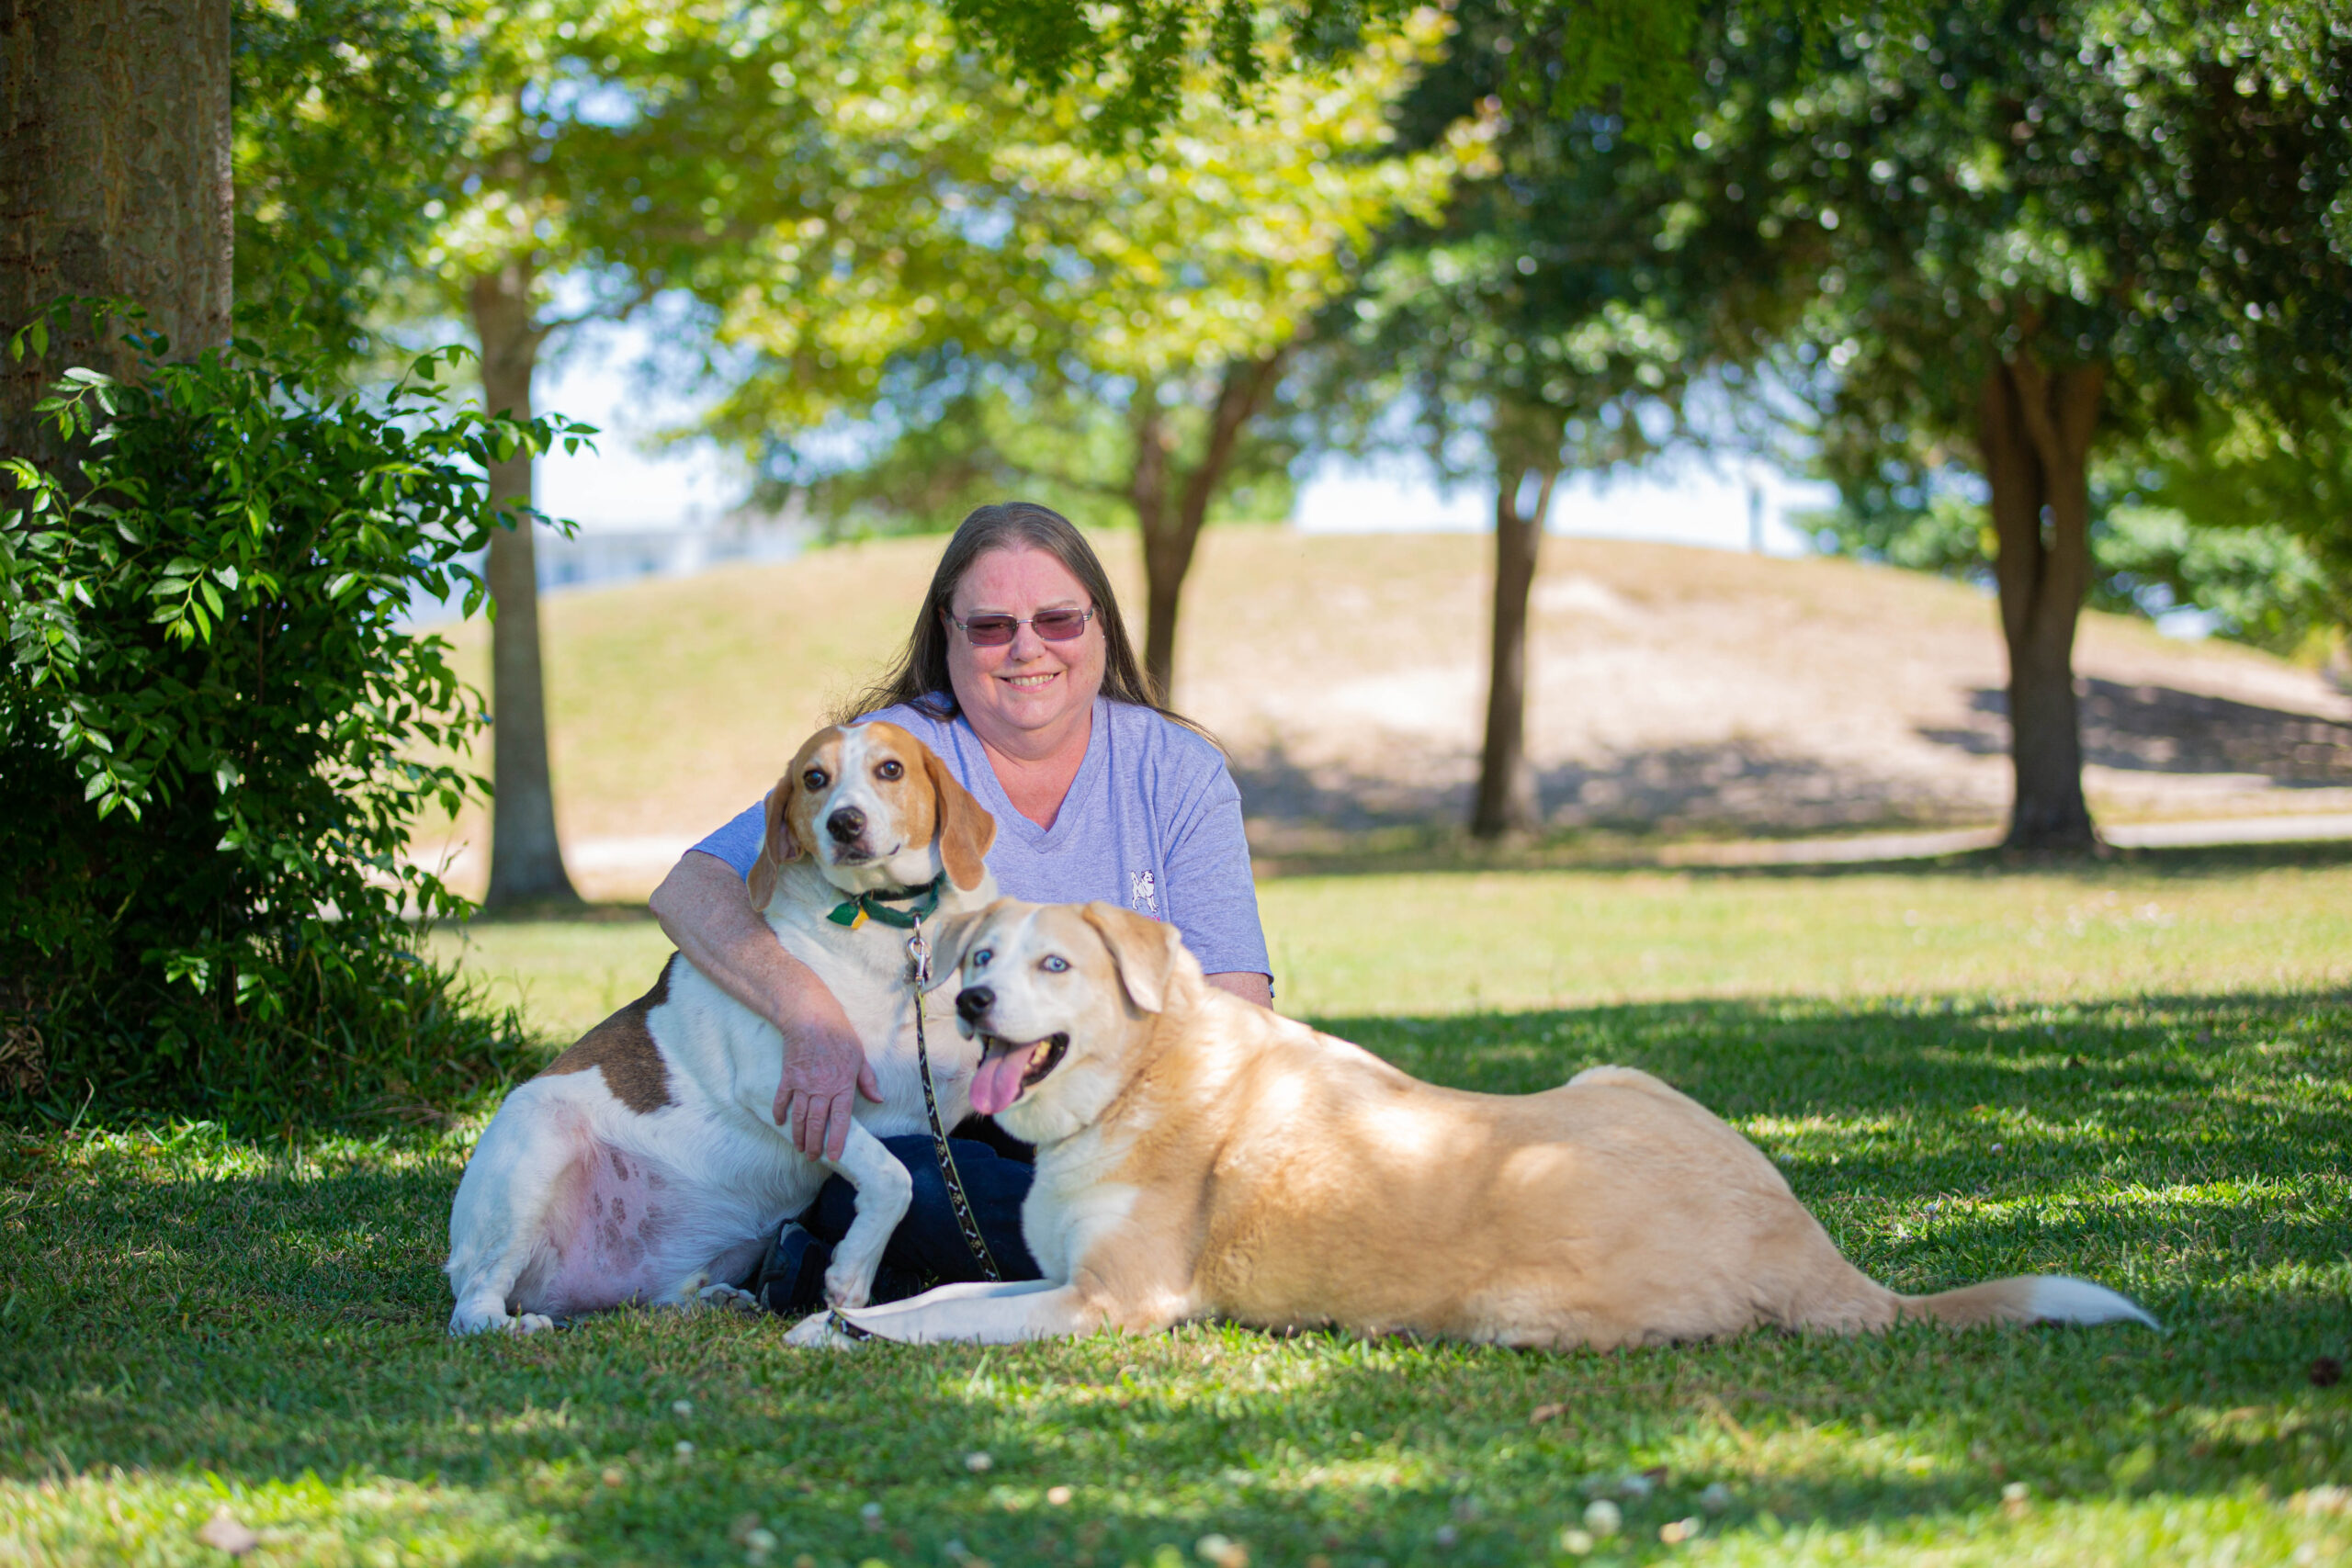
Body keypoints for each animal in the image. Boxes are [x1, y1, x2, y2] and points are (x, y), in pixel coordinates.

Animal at [444, 728, 997, 1335]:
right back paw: (509, 1324)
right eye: (814, 778)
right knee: (472, 1305)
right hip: (536, 1149)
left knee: (656, 1297)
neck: (888, 925)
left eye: (891, 769)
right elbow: (894, 1175)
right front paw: (853, 1270)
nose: (844, 822)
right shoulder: (793, 1089)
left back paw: (710, 1299)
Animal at [786, 902, 2154, 1354]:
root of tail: (1808, 1245)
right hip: (1620, 1068)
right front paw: (826, 1315)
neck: (1137, 1079)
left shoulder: (1113, 1304)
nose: (969, 1001)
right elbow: (936, 1297)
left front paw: (853, 1330)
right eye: (983, 957)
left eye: (1054, 964)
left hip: (1517, 1302)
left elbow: (945, 1321)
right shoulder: (1057, 1278)